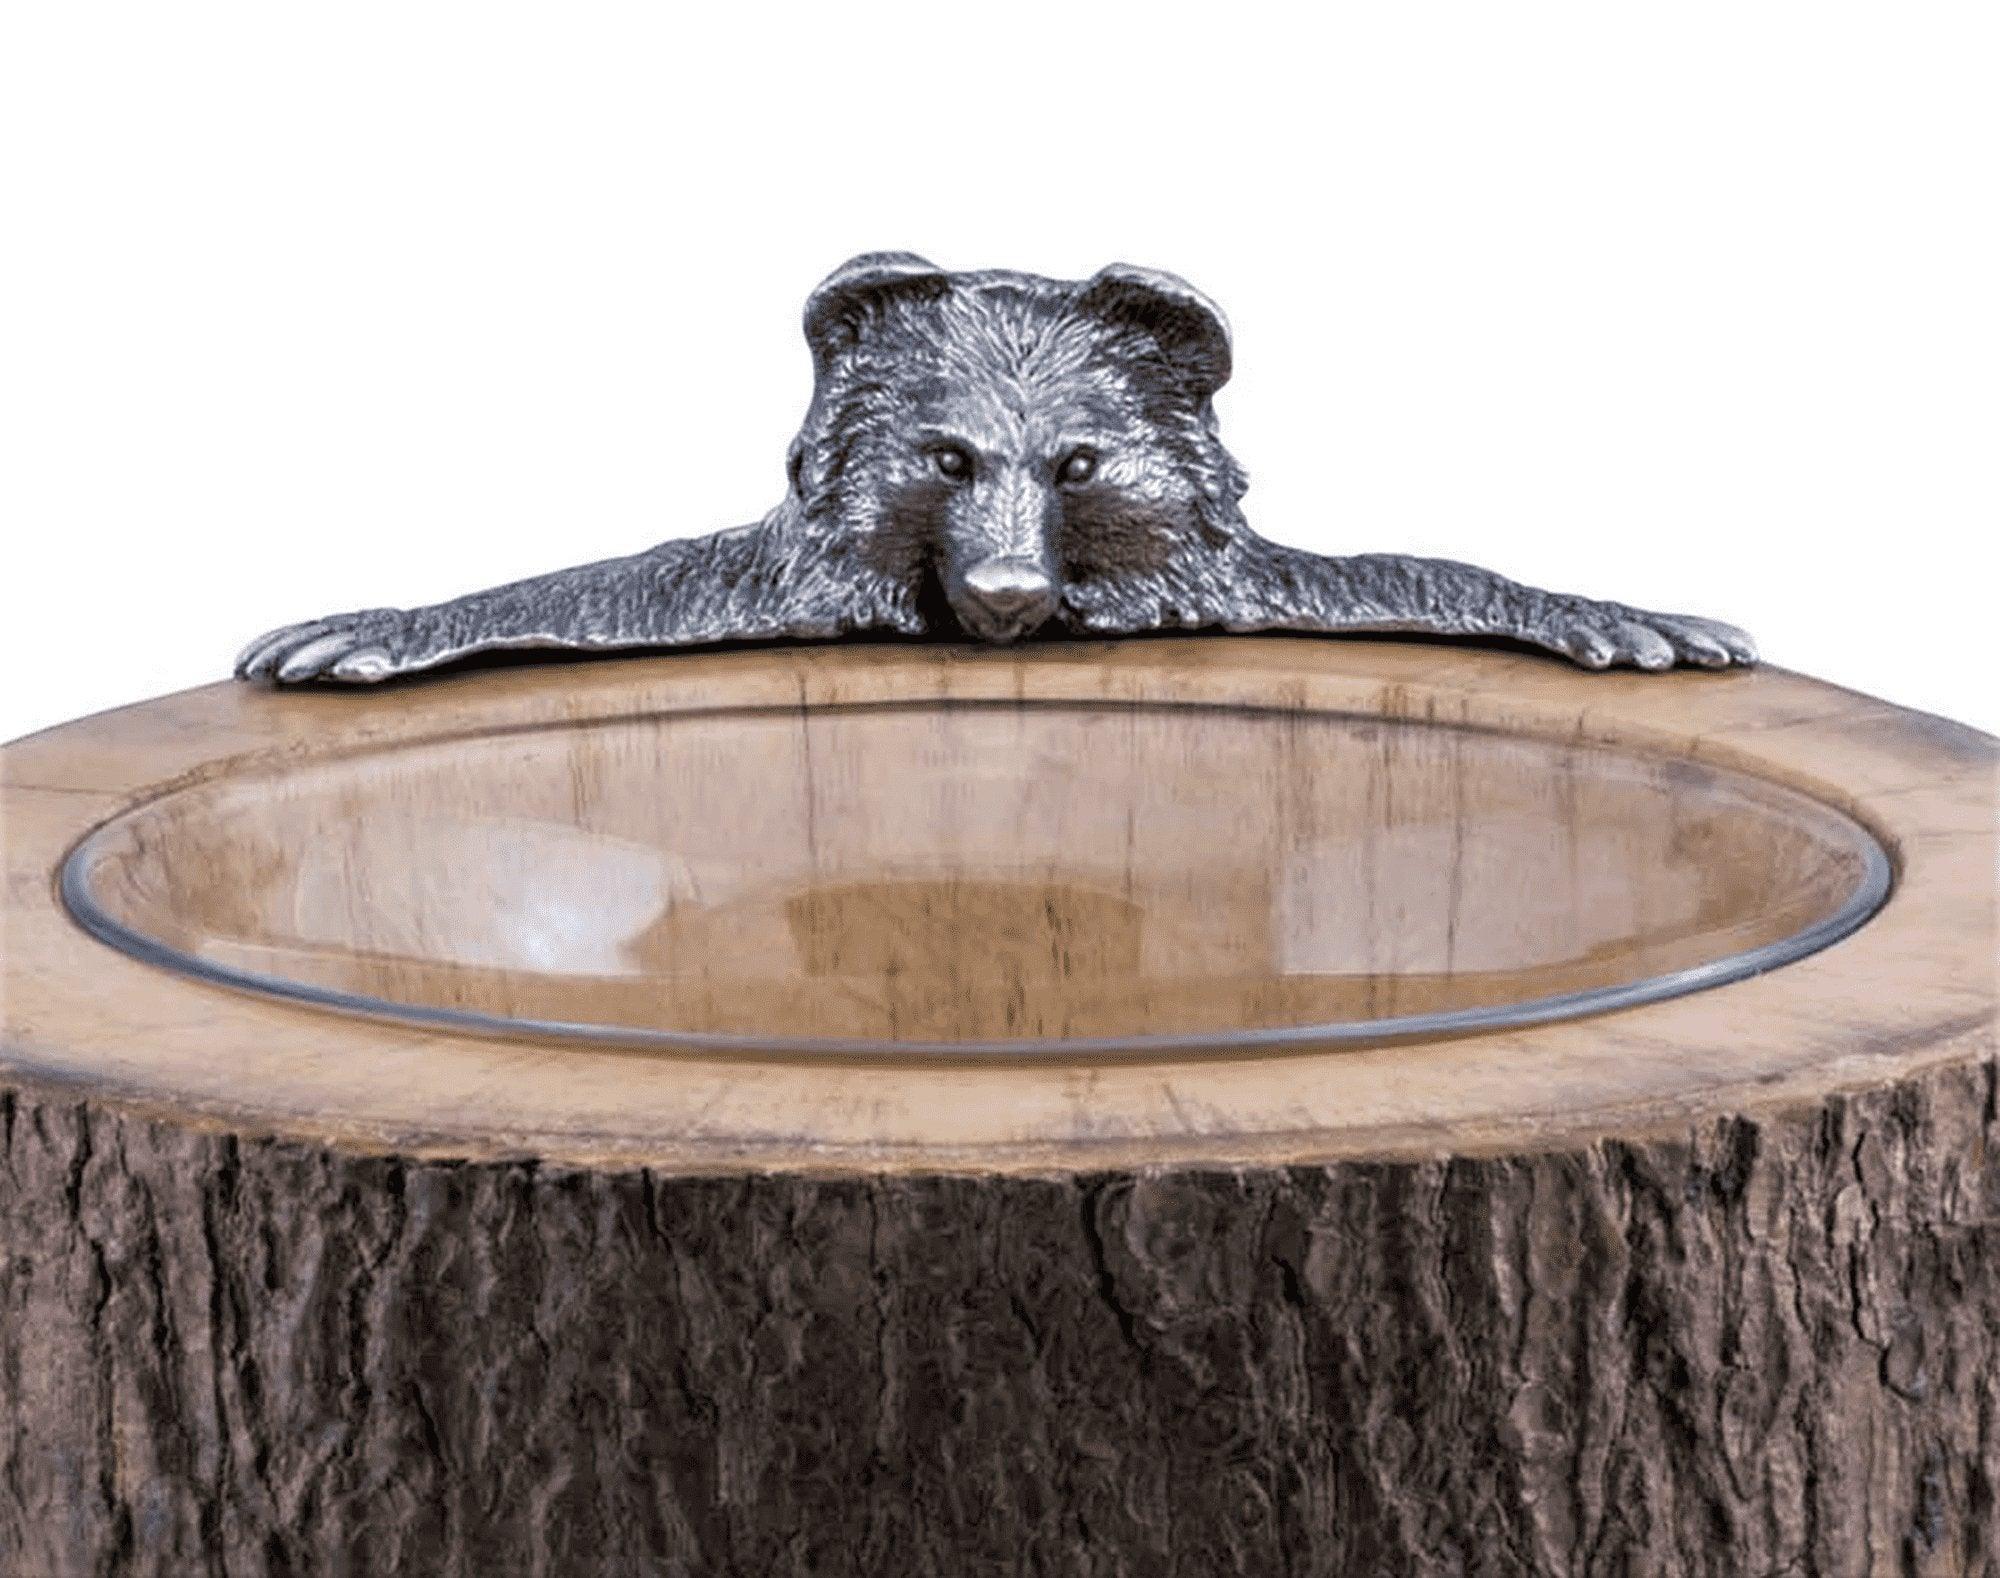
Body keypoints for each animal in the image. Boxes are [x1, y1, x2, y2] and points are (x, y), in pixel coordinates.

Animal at [238, 253, 1755, 683]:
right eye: (944, 456)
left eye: (1078, 461)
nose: (1018, 599)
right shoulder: (771, 583)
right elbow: (597, 589)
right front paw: (385, 626)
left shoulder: (1227, 582)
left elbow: (1421, 571)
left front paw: (1612, 615)